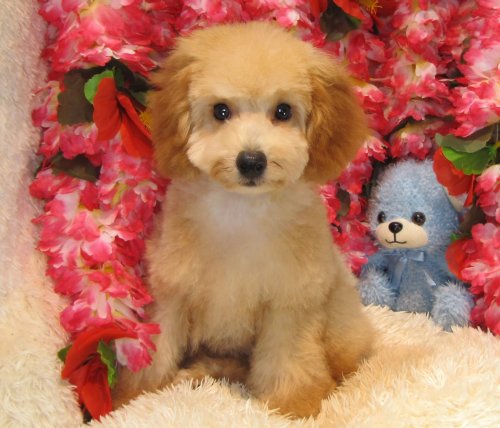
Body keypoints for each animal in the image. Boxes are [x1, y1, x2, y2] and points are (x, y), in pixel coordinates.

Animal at [113, 21, 373, 418]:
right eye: (221, 111)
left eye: (283, 111)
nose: (251, 161)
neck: (243, 210)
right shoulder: (174, 286)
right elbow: (158, 343)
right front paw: (137, 396)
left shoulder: (289, 300)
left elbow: (289, 357)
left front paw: (292, 403)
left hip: (340, 319)